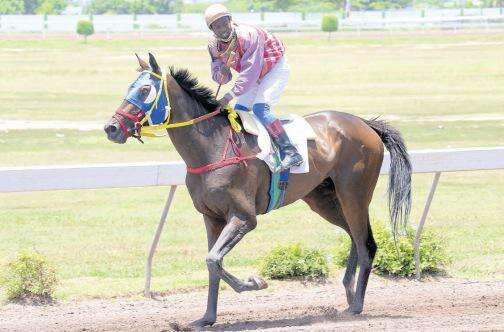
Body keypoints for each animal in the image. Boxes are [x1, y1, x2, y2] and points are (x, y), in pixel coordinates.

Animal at [104, 53, 412, 328]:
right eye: (129, 87)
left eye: (144, 90)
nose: (111, 128)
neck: (214, 147)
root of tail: (365, 124)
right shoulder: (211, 217)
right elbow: (212, 264)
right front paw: (207, 318)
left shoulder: (243, 217)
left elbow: (214, 259)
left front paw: (255, 282)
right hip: (324, 200)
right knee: (355, 238)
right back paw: (348, 296)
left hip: (354, 195)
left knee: (366, 244)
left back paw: (357, 305)